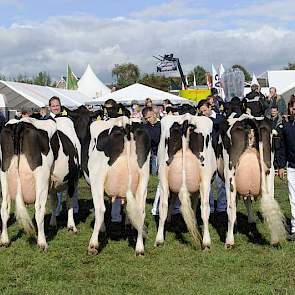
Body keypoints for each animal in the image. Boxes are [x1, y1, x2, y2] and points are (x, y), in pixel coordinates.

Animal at [0, 117, 56, 251]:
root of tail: (20, 124)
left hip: (3, 173)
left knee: (4, 206)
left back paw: (4, 240)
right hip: (42, 176)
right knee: (39, 208)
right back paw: (42, 242)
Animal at [86, 117, 150, 256]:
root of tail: (125, 124)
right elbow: (127, 208)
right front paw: (128, 225)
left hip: (97, 179)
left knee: (100, 209)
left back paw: (93, 245)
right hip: (143, 180)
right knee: (141, 211)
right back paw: (139, 248)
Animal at [155, 113, 217, 250]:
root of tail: (186, 118)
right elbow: (194, 204)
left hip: (163, 177)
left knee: (163, 205)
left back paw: (159, 239)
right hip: (205, 179)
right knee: (205, 208)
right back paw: (206, 242)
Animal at [220, 114, 286, 249]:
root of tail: (248, 118)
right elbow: (248, 200)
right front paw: (250, 221)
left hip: (230, 173)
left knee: (231, 208)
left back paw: (229, 241)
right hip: (269, 171)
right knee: (271, 206)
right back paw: (275, 240)